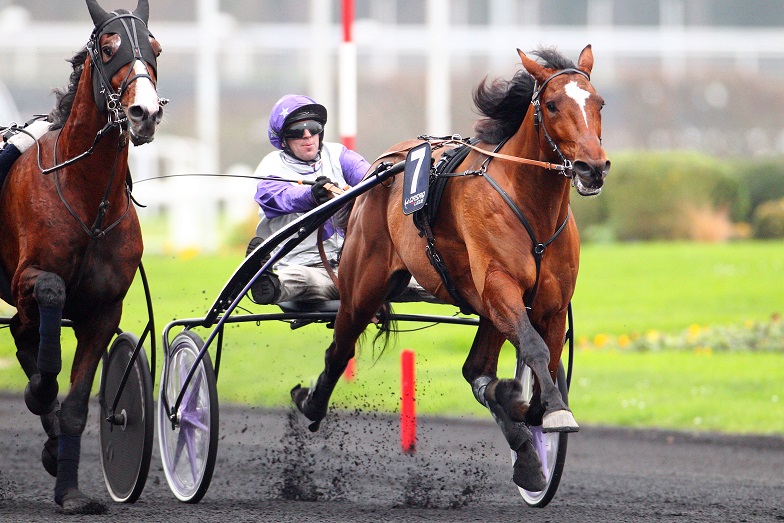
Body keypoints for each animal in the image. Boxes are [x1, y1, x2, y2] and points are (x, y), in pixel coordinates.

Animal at [0, 0, 163, 516]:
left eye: (154, 47)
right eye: (109, 47)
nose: (143, 112)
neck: (89, 199)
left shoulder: (102, 311)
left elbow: (72, 406)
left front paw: (69, 491)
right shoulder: (28, 279)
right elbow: (49, 300)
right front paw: (39, 390)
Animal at [294, 45, 612, 492]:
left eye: (598, 103)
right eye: (551, 105)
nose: (592, 167)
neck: (531, 208)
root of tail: (383, 166)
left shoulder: (549, 305)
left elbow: (542, 370)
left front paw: (526, 409)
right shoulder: (499, 286)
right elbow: (533, 351)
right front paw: (543, 409)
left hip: (485, 311)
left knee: (475, 369)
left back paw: (524, 453)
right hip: (362, 286)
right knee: (340, 347)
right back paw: (311, 403)